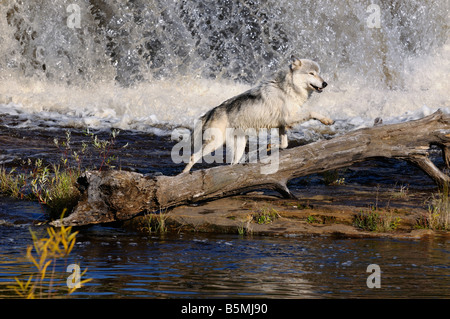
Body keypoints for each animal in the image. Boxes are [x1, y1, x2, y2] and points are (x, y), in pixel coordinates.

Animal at [181, 57, 332, 172]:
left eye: (319, 73)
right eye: (311, 73)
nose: (325, 83)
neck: (288, 89)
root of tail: (211, 111)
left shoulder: (282, 124)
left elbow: (284, 144)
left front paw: (269, 146)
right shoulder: (289, 118)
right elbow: (312, 112)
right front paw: (327, 120)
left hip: (239, 146)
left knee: (232, 163)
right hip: (215, 143)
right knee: (193, 157)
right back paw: (184, 176)